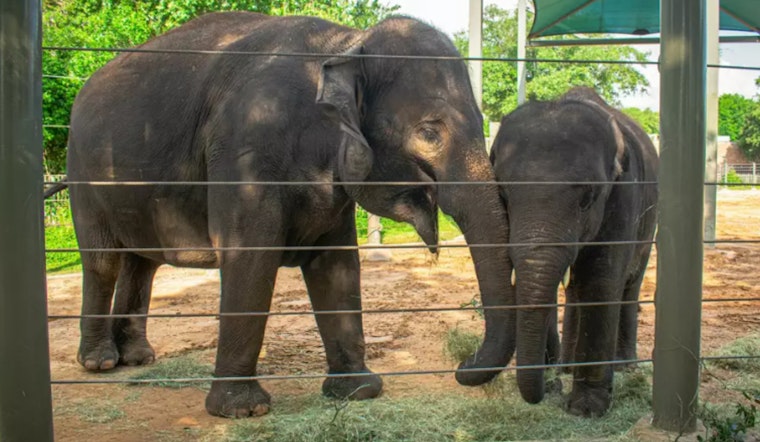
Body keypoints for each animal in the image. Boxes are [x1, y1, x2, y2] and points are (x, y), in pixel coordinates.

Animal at [66, 12, 514, 418]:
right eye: (429, 134)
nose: (463, 366)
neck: (345, 43)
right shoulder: (245, 150)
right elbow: (251, 257)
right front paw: (242, 411)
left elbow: (337, 265)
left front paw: (358, 391)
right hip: (83, 177)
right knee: (103, 262)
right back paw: (100, 362)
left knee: (141, 264)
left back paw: (137, 358)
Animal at [456, 87, 658, 417]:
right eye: (503, 193)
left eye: (588, 198)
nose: (462, 366)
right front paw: (555, 385)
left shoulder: (624, 194)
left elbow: (601, 281)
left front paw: (586, 409)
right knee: (576, 288)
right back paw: (566, 367)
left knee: (629, 282)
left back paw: (625, 367)